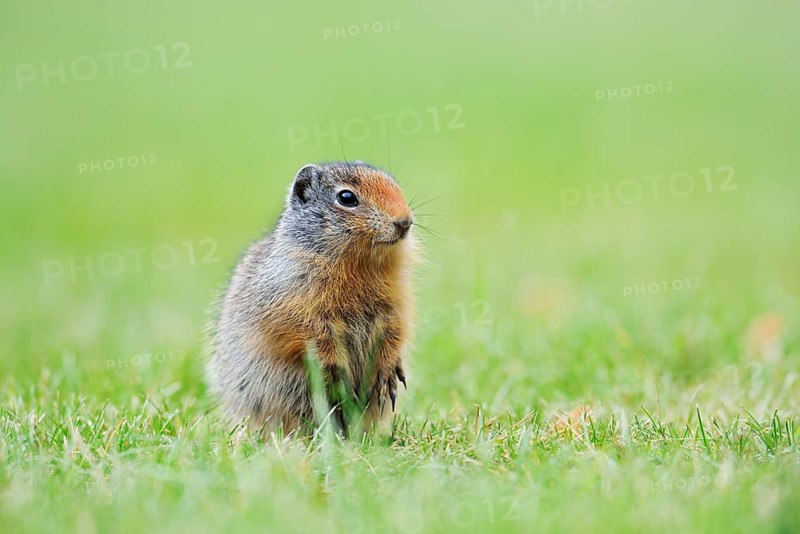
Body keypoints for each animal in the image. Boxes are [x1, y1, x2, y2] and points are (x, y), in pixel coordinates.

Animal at [208, 161, 418, 436]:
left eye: (396, 185)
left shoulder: (395, 304)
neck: (362, 266)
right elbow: (314, 340)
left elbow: (396, 332)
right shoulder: (298, 308)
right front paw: (340, 380)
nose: (405, 221)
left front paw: (389, 373)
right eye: (346, 197)